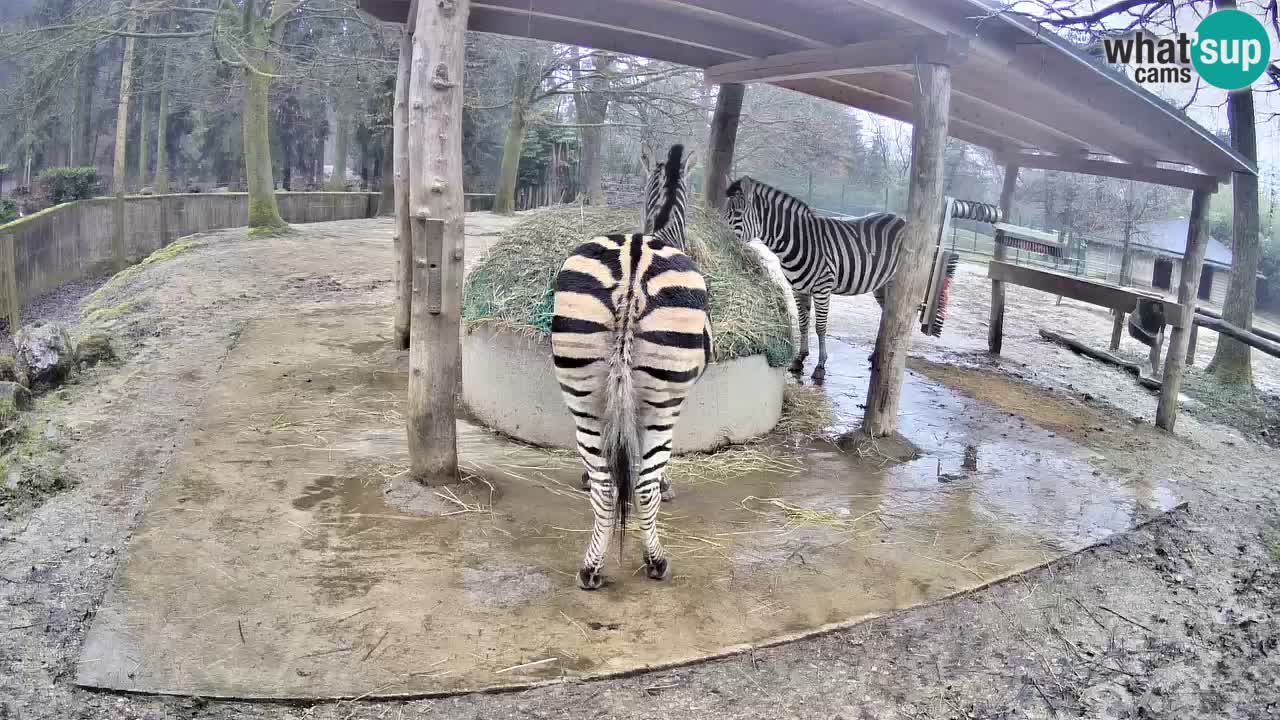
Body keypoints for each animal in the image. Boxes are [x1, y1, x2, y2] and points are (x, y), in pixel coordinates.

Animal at [550, 144, 710, 591]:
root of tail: (633, 267)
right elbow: (652, 470)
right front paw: (669, 484)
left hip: (583, 390)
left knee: (607, 484)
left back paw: (591, 567)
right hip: (663, 401)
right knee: (644, 485)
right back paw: (655, 561)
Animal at [723, 176, 993, 382]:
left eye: (736, 213)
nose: (718, 229)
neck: (798, 241)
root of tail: (903, 220)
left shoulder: (823, 287)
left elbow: (821, 326)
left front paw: (820, 367)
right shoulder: (799, 288)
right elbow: (803, 322)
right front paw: (799, 359)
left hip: (897, 283)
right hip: (883, 285)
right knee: (887, 317)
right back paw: (876, 356)